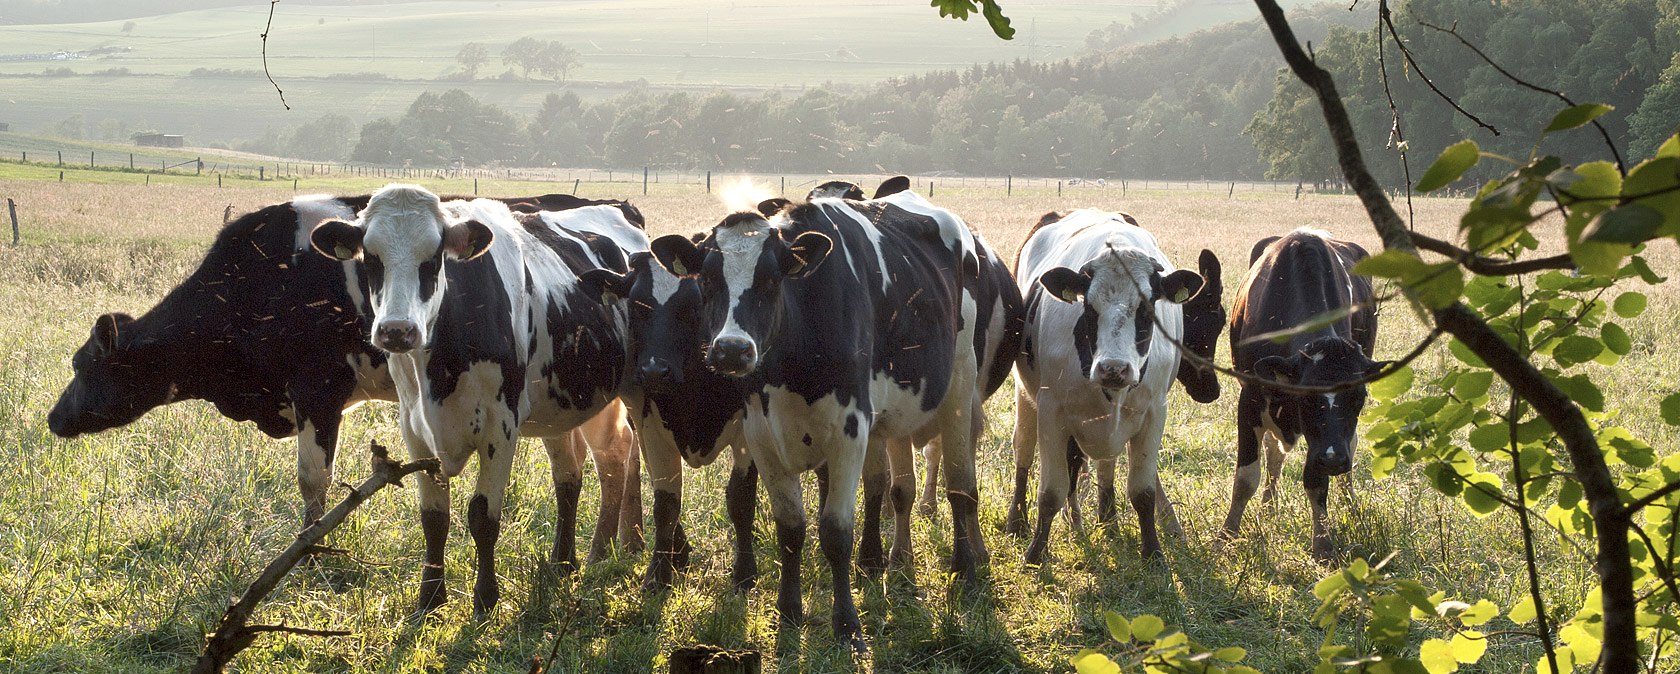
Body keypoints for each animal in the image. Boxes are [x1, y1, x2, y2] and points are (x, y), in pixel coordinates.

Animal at [47, 192, 645, 568]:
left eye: (83, 366)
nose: (54, 419)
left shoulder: (319, 390)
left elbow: (314, 480)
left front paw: (307, 553)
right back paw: (622, 545)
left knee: (621, 452)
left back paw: (621, 545)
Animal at [303, 184, 644, 615]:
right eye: (371, 257)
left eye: (434, 257)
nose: (397, 330)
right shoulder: (414, 427)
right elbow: (433, 517)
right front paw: (430, 598)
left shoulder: (502, 427)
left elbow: (483, 516)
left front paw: (485, 599)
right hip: (559, 405)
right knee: (570, 473)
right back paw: (564, 562)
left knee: (618, 456)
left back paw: (606, 549)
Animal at [649, 183, 992, 651]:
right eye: (706, 280)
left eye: (772, 279)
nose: (732, 350)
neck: (793, 365)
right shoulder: (762, 435)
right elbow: (791, 528)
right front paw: (788, 613)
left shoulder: (850, 429)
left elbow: (835, 532)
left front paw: (847, 624)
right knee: (889, 486)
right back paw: (883, 561)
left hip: (959, 385)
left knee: (960, 487)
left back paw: (965, 569)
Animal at [1010, 209, 1222, 562]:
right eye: (1089, 306)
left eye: (1148, 309)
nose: (1114, 369)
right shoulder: (1051, 412)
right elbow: (1050, 491)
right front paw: (1035, 553)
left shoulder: (1153, 413)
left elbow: (1143, 491)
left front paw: (1153, 553)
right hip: (1026, 400)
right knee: (1024, 453)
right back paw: (1018, 522)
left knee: (1104, 464)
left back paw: (1106, 521)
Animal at [1222, 228, 1385, 560]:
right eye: (1307, 396)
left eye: (1359, 398)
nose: (1334, 460)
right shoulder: (1250, 399)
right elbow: (1246, 478)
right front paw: (1227, 535)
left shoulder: (1322, 442)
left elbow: (1316, 481)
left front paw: (1322, 544)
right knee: (1274, 454)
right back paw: (1268, 507)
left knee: (1349, 446)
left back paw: (1351, 504)